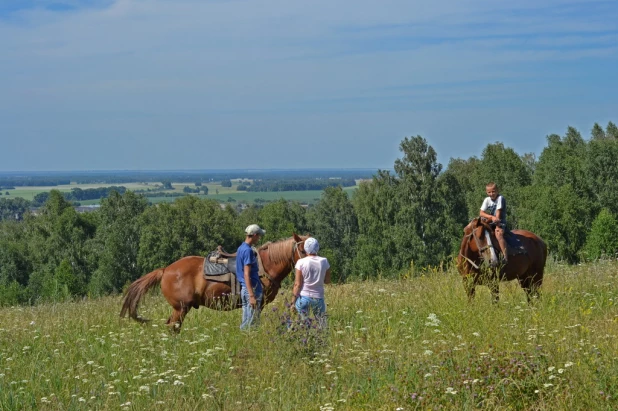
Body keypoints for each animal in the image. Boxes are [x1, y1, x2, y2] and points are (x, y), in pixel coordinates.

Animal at [119, 233, 308, 334]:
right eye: (302, 249)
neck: (265, 266)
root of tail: (165, 270)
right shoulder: (257, 303)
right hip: (181, 308)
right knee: (173, 327)